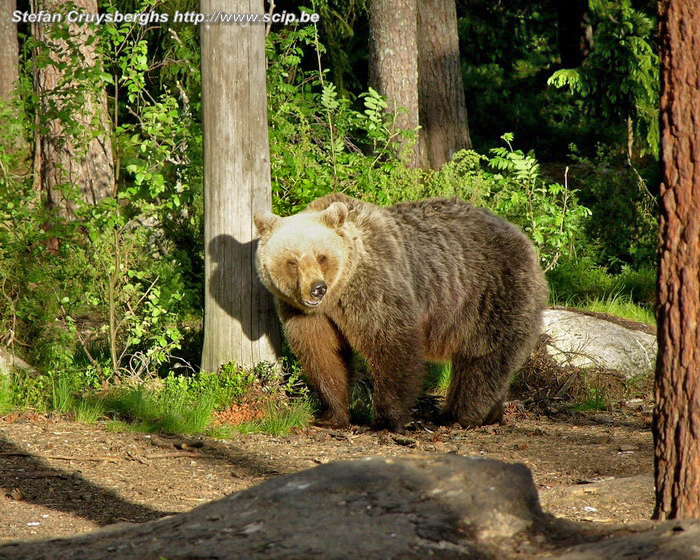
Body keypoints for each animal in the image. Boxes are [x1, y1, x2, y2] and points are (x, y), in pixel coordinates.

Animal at [254, 195, 548, 430]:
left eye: (321, 256)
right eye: (292, 261)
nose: (317, 289)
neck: (339, 294)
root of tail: (521, 236)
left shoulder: (374, 285)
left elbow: (390, 344)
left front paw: (387, 419)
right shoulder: (306, 314)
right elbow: (323, 355)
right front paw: (332, 415)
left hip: (490, 292)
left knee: (484, 357)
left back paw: (457, 416)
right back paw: (491, 414)